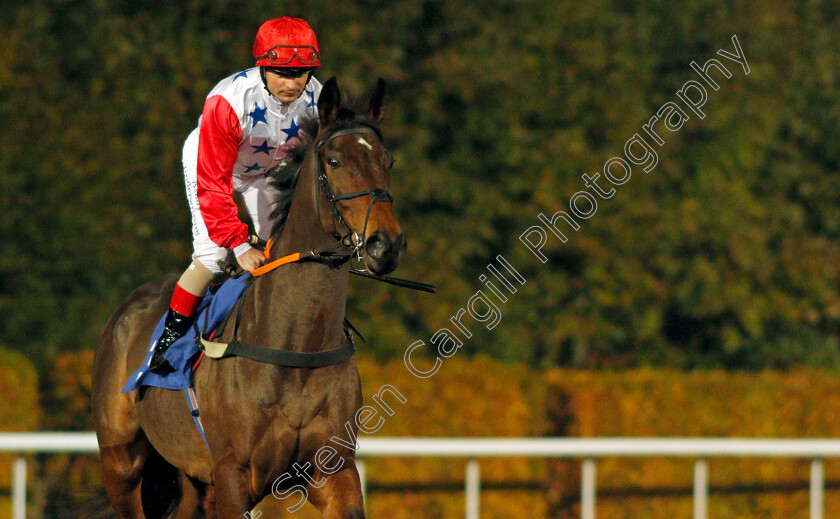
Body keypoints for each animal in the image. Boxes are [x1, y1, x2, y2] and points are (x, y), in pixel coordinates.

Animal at [91, 78, 404, 519]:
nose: (386, 244)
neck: (296, 346)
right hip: (121, 461)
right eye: (335, 161)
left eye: (387, 161)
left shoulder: (333, 469)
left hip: (193, 482)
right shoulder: (232, 473)